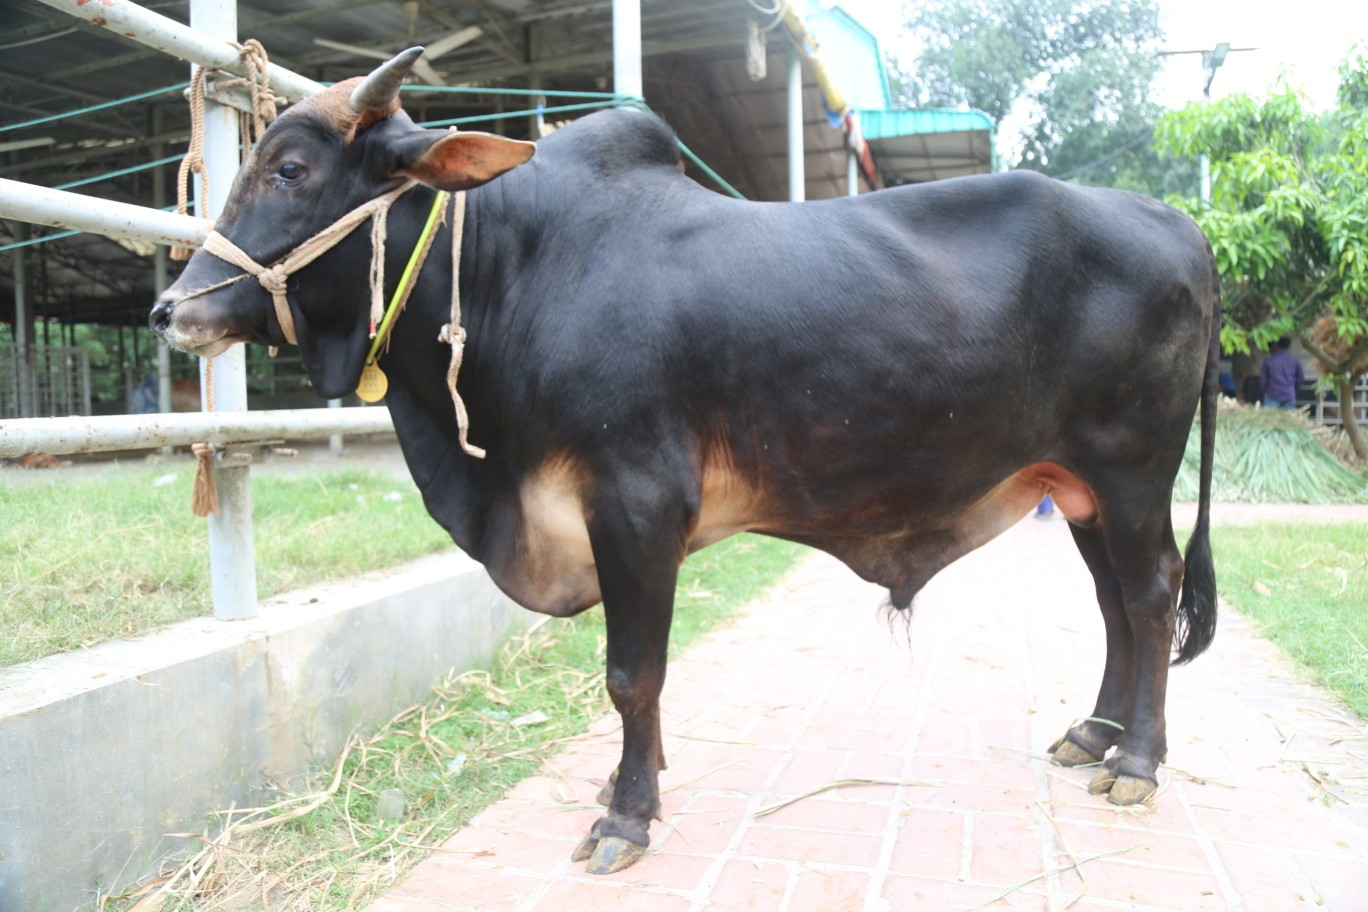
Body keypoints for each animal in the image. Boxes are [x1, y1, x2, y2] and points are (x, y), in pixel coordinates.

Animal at [150, 48, 1219, 875]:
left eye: (291, 169)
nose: (169, 310)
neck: (517, 269)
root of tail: (1179, 225)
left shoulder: (635, 504)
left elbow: (632, 672)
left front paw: (625, 817)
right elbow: (639, 679)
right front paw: (642, 783)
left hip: (1130, 471)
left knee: (1151, 591)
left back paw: (1137, 763)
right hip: (1075, 488)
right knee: (1116, 602)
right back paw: (1095, 735)